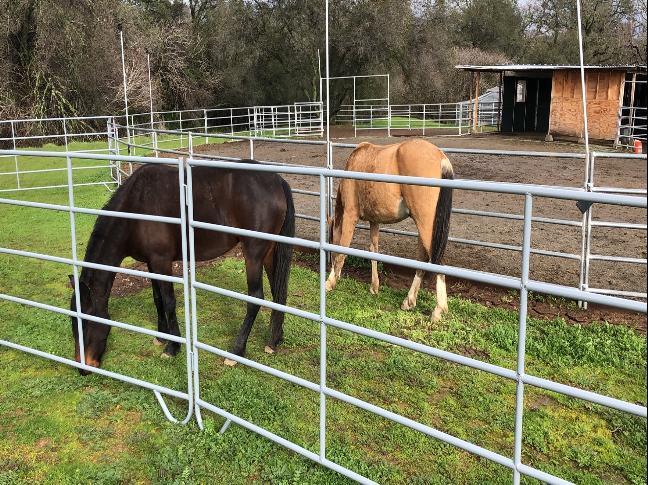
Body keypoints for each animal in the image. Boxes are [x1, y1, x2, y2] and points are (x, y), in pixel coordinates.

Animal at [69, 161, 294, 372]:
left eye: (86, 320)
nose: (83, 368)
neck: (136, 207)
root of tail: (277, 181)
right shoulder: (151, 262)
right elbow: (158, 299)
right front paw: (161, 336)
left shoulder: (162, 261)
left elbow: (169, 302)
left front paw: (172, 347)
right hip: (268, 252)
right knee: (278, 292)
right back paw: (274, 340)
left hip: (253, 254)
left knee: (255, 299)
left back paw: (236, 352)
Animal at [326, 139, 454, 322]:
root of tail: (441, 157)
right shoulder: (374, 221)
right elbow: (373, 251)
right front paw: (374, 286)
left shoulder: (351, 214)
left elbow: (343, 249)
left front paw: (330, 283)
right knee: (423, 259)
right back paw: (409, 300)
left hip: (427, 225)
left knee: (437, 260)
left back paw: (438, 309)